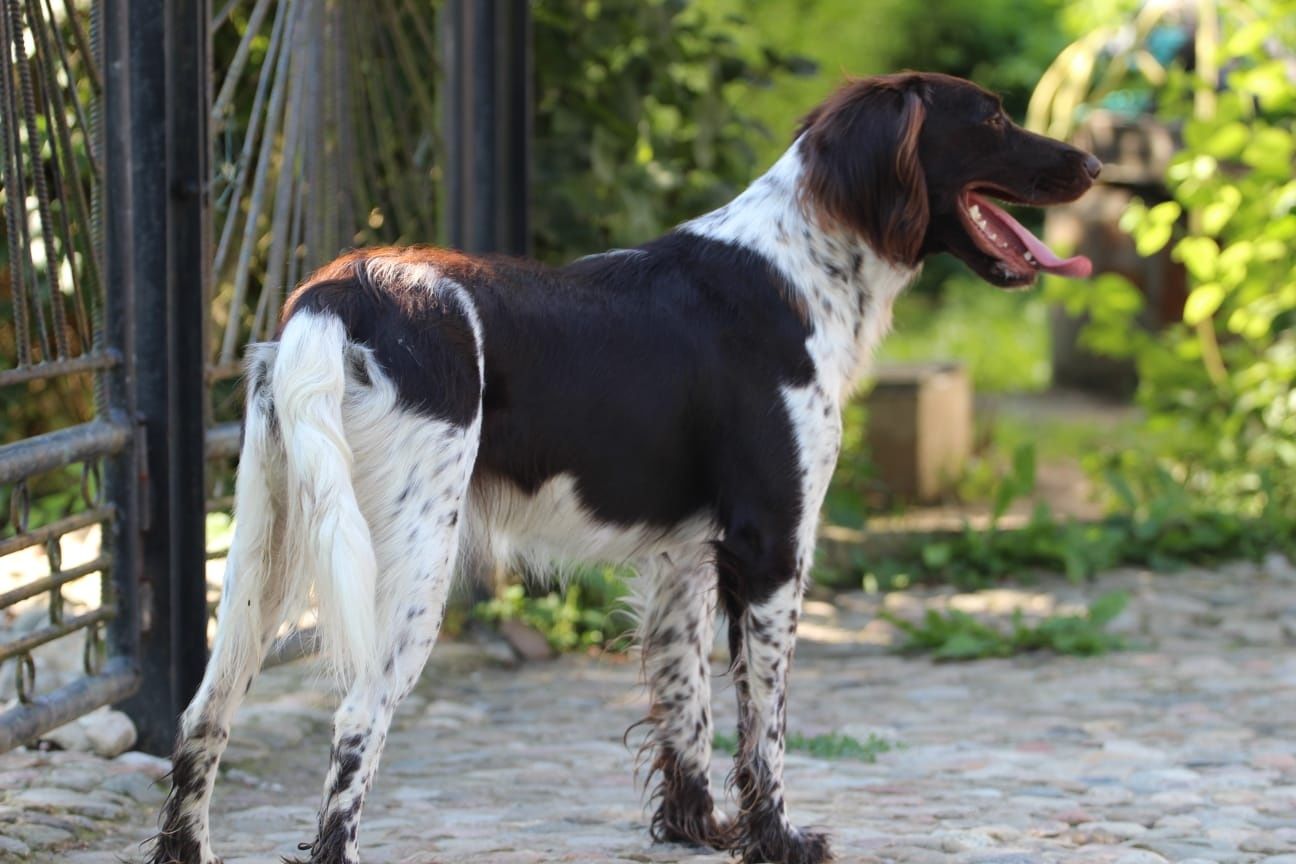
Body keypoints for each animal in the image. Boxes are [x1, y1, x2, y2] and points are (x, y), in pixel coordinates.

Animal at [149, 74, 1104, 864]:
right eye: (992, 118)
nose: (1093, 162)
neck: (799, 269)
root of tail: (337, 294)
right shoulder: (770, 547)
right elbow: (764, 725)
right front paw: (777, 840)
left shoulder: (686, 557)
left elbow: (688, 707)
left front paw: (697, 830)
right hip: (408, 562)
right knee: (354, 724)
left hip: (263, 551)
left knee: (203, 715)